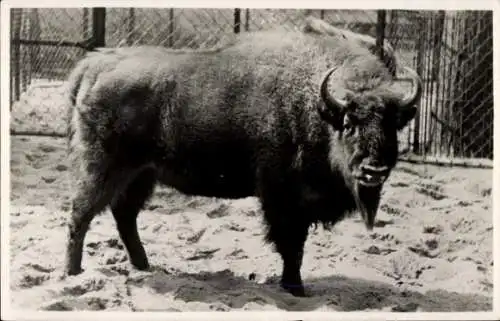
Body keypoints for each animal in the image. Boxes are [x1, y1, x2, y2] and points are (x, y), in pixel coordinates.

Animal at [62, 26, 422, 296]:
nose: (373, 170)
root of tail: (95, 65)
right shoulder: (283, 198)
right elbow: (292, 244)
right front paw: (294, 288)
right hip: (105, 168)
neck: (317, 106)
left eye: (393, 125)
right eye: (349, 124)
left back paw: (142, 266)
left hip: (142, 174)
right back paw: (74, 273)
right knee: (81, 214)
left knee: (124, 215)